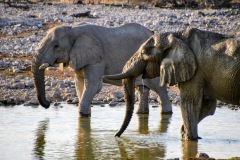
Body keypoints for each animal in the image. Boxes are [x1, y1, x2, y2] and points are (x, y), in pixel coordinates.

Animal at [32, 22, 172, 117]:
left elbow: (94, 85)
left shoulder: (97, 59)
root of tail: (152, 33)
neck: (73, 29)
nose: (48, 103)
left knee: (159, 88)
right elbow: (79, 84)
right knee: (143, 88)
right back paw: (142, 114)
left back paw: (167, 113)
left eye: (56, 46)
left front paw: (83, 115)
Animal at [104, 28, 240, 141]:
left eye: (143, 53)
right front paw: (184, 133)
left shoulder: (196, 71)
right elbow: (207, 107)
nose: (116, 136)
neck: (176, 36)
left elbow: (189, 104)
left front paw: (189, 139)